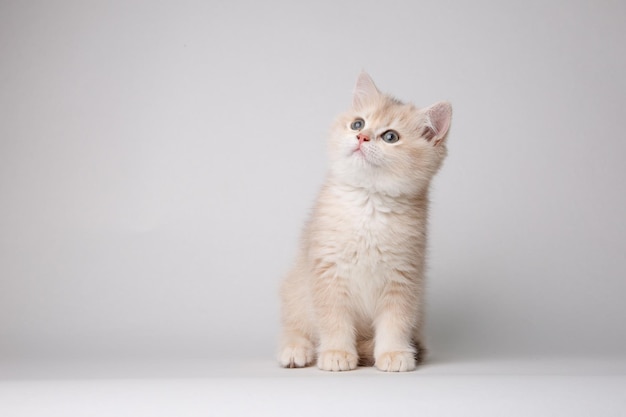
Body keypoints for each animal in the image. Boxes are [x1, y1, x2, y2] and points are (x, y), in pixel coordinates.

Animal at [278, 71, 448, 370]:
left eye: (390, 136)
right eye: (358, 123)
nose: (361, 136)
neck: (368, 204)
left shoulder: (403, 278)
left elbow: (396, 322)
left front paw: (394, 353)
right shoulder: (327, 274)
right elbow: (333, 320)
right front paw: (336, 353)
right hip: (295, 289)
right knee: (296, 325)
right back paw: (296, 349)